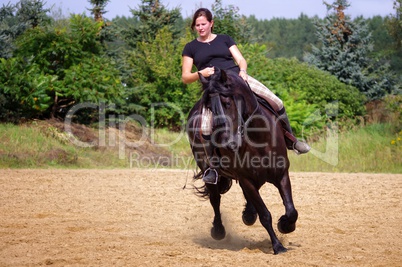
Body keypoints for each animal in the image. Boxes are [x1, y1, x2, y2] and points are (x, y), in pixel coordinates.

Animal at [186, 67, 298, 255]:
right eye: (209, 108)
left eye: (227, 103)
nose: (227, 142)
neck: (258, 138)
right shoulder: (246, 180)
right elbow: (265, 215)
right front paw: (277, 246)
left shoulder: (281, 174)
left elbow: (291, 210)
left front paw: (285, 225)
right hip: (209, 171)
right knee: (215, 199)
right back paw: (219, 230)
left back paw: (248, 215)